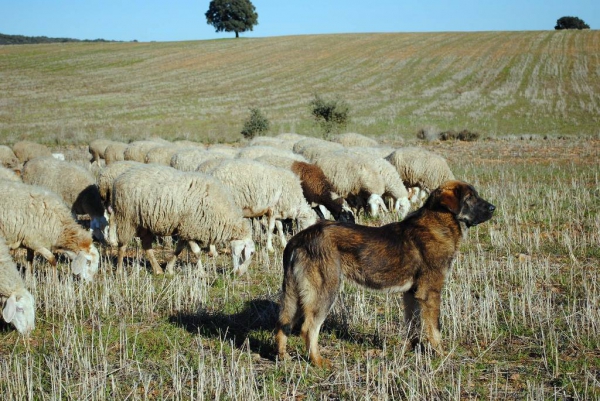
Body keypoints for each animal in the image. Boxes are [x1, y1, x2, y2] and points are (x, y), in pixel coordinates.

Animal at [111, 163, 254, 276]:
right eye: (251, 253)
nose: (240, 274)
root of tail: (121, 177)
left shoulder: (186, 229)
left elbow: (178, 250)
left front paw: (169, 269)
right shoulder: (190, 227)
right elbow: (197, 252)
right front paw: (202, 273)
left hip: (144, 222)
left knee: (146, 245)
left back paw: (158, 270)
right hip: (126, 217)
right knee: (122, 245)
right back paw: (119, 271)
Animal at [274, 180, 494, 368]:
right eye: (470, 198)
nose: (493, 208)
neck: (438, 221)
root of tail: (300, 237)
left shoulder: (412, 294)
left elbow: (413, 325)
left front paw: (413, 349)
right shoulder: (430, 293)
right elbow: (435, 328)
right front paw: (441, 354)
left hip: (298, 293)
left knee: (283, 323)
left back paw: (283, 356)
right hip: (325, 291)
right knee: (309, 328)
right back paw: (318, 361)